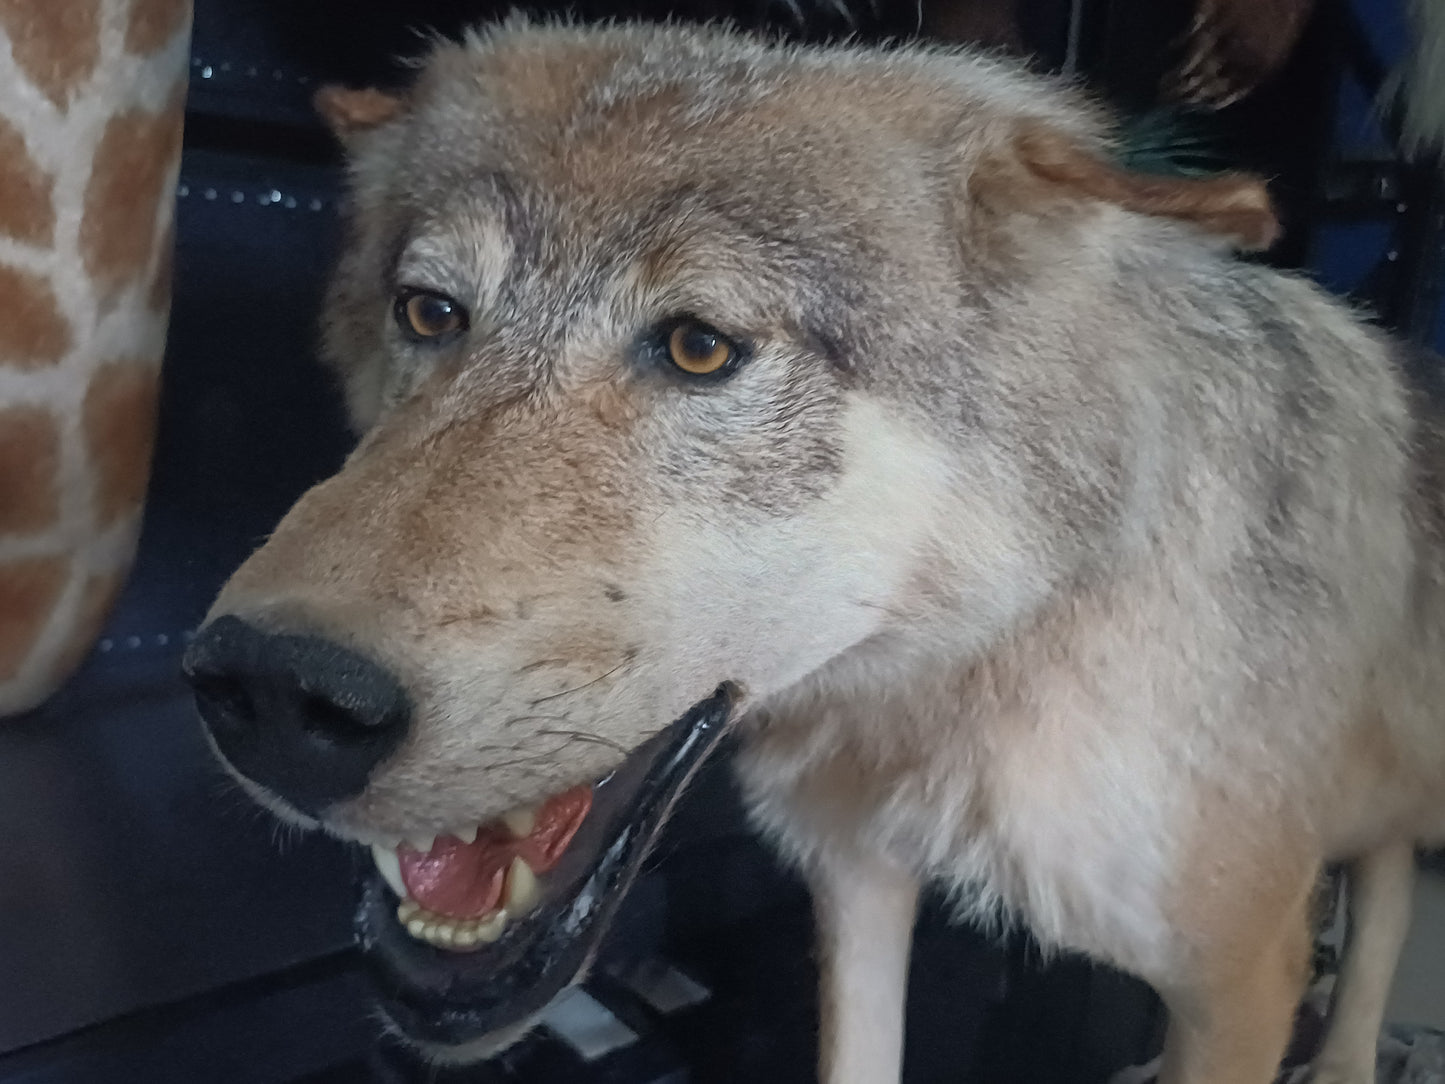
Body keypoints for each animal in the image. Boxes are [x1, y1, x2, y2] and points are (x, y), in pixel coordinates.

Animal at [182, 21, 1445, 1084]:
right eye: (431, 312)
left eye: (698, 346)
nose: (277, 689)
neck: (953, 681)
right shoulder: (856, 878)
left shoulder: (1238, 973)